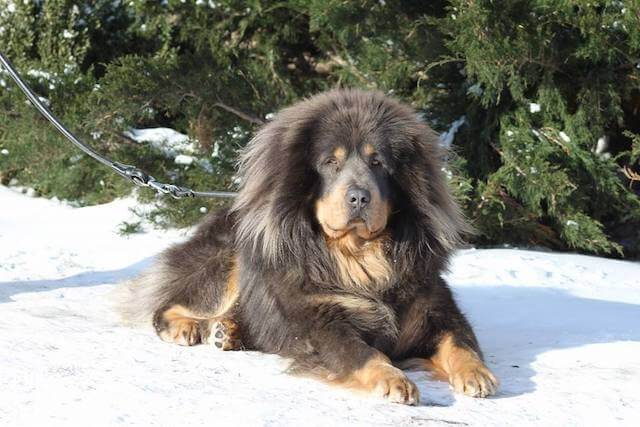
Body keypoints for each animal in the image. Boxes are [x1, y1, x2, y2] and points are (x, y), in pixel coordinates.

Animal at [115, 89, 498, 404]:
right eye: (331, 162)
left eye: (378, 162)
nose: (359, 197)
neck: (359, 257)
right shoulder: (318, 321)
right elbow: (362, 352)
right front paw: (393, 380)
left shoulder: (436, 309)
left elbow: (460, 342)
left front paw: (477, 373)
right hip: (228, 260)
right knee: (169, 303)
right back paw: (188, 326)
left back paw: (229, 331)